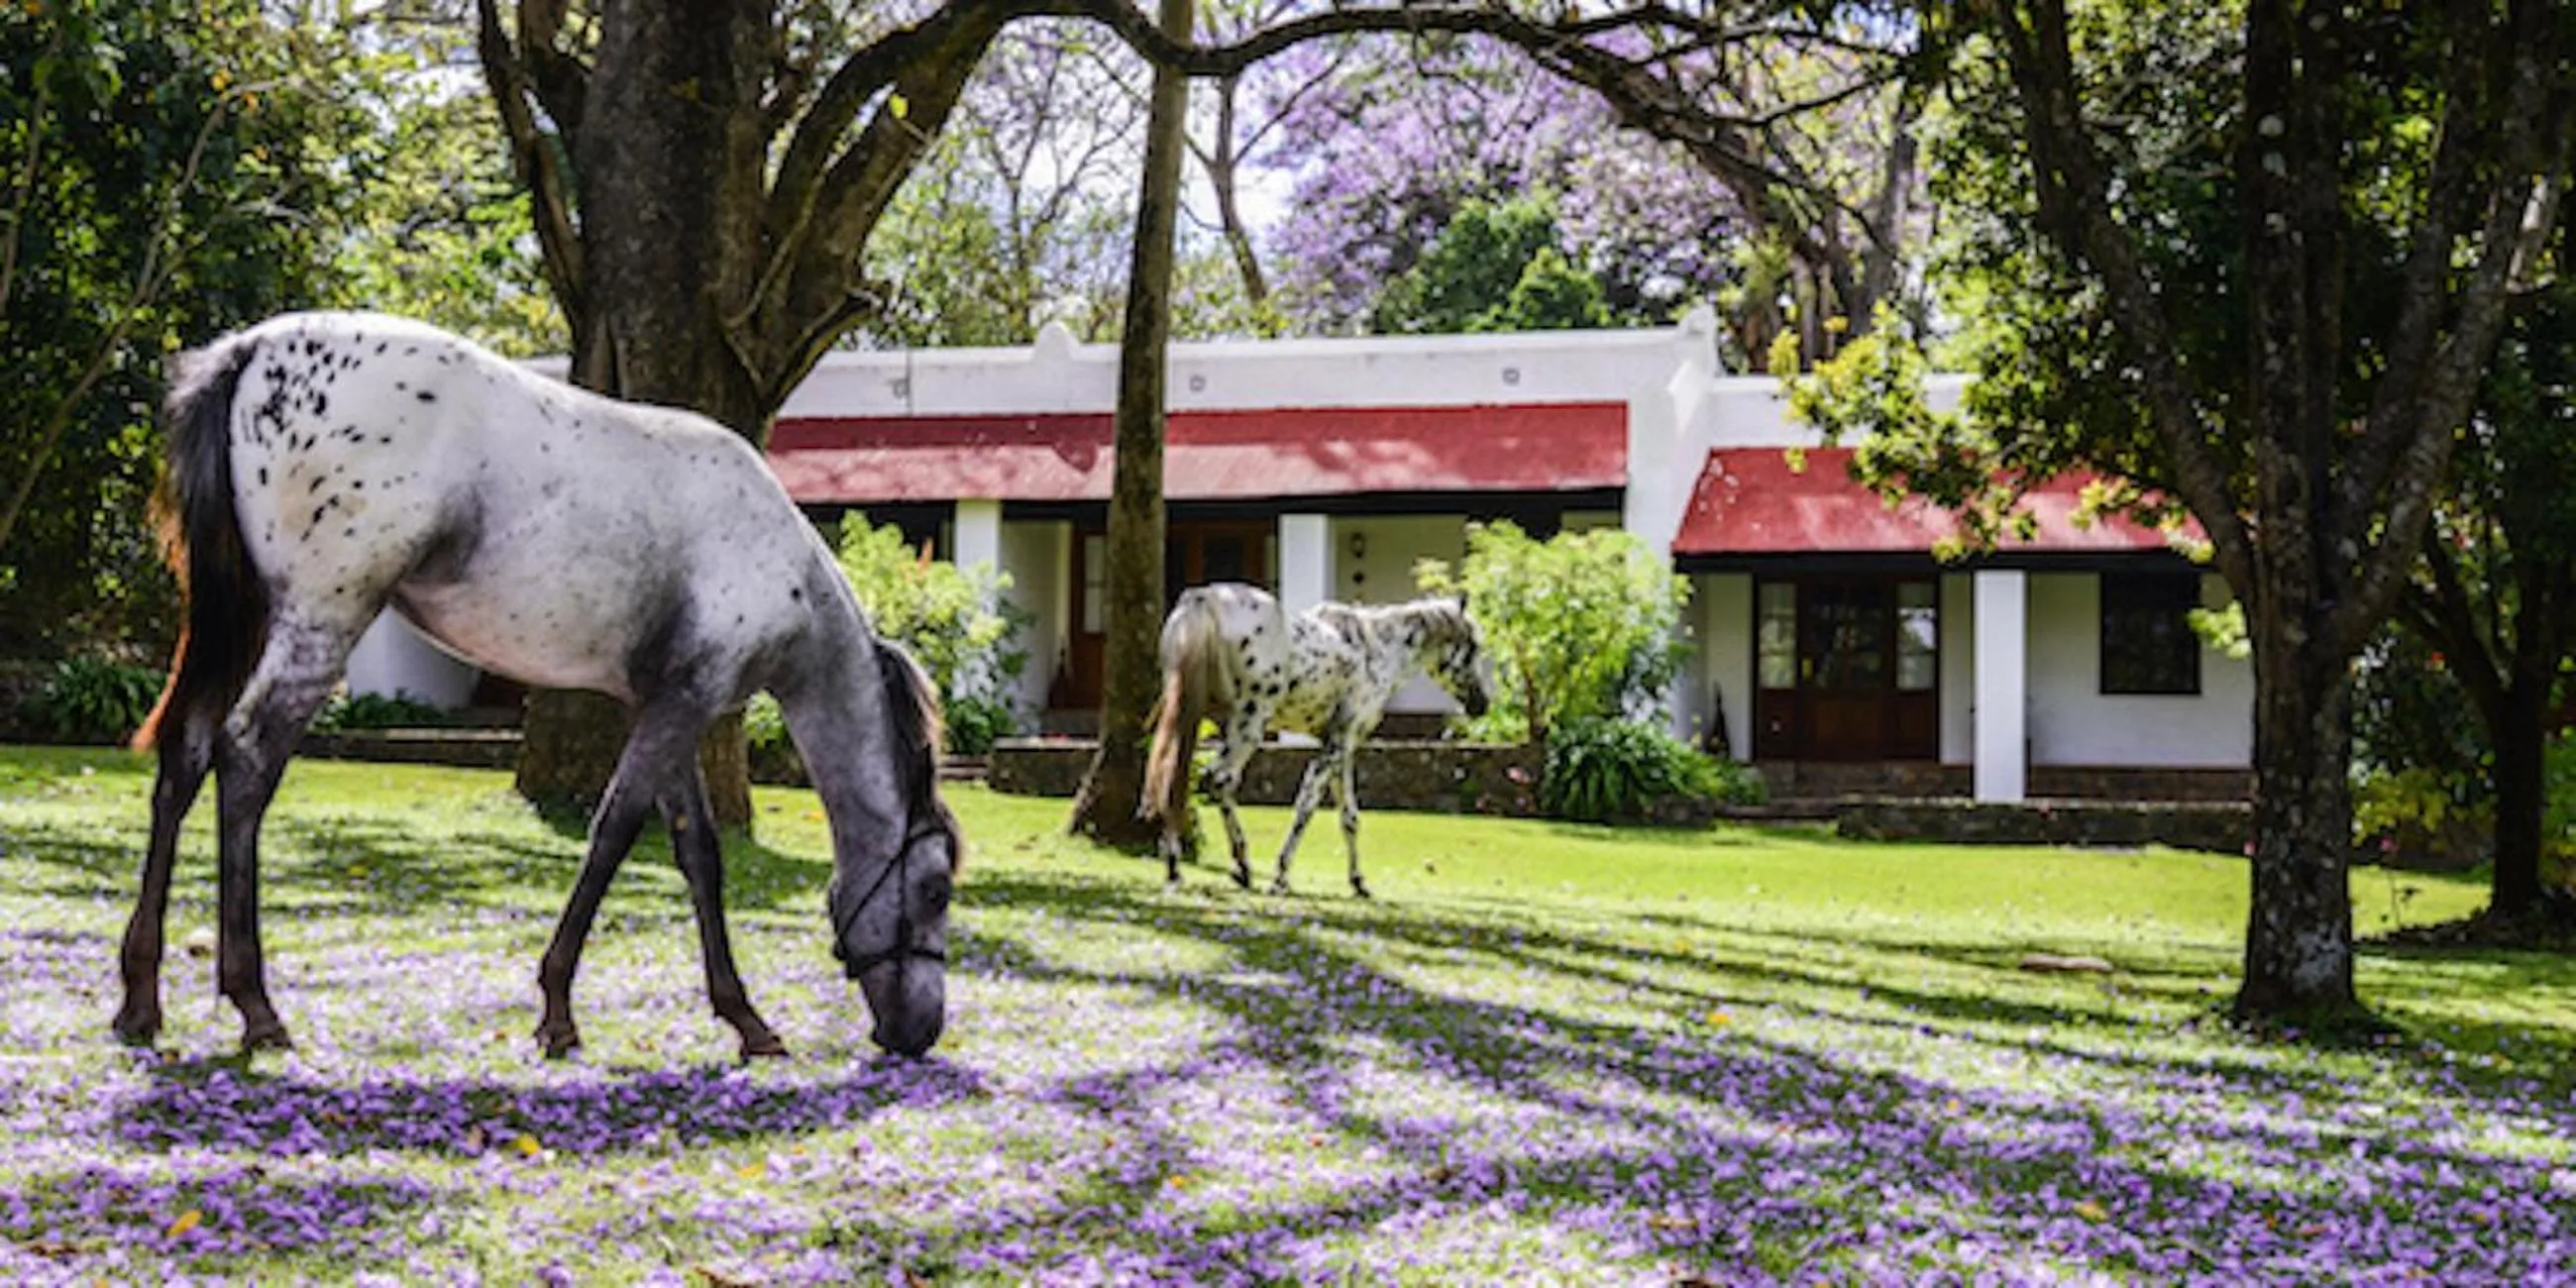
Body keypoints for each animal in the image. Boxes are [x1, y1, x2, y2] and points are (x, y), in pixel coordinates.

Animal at [120, 311, 960, 1061]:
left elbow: (697, 852)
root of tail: (251, 350)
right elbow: (614, 834)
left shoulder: (665, 705)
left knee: (185, 755)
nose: (920, 1032)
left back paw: (140, 1000)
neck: (778, 561)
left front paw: (743, 1019)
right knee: (246, 759)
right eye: (935, 891)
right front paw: (558, 1010)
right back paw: (255, 1006)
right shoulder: (686, 701)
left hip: (245, 618)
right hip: (322, 621)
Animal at [1142, 582, 1493, 897]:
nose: (1482, 704)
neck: (1376, 649)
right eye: (1473, 647)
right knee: (1218, 779)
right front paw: (1281, 877)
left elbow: (1349, 816)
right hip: (1249, 724)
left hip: (1191, 714)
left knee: (1174, 776)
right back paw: (1241, 866)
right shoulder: (1338, 744)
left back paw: (1175, 866)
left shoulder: (1341, 747)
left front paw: (1358, 882)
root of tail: (1203, 599)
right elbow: (1307, 806)